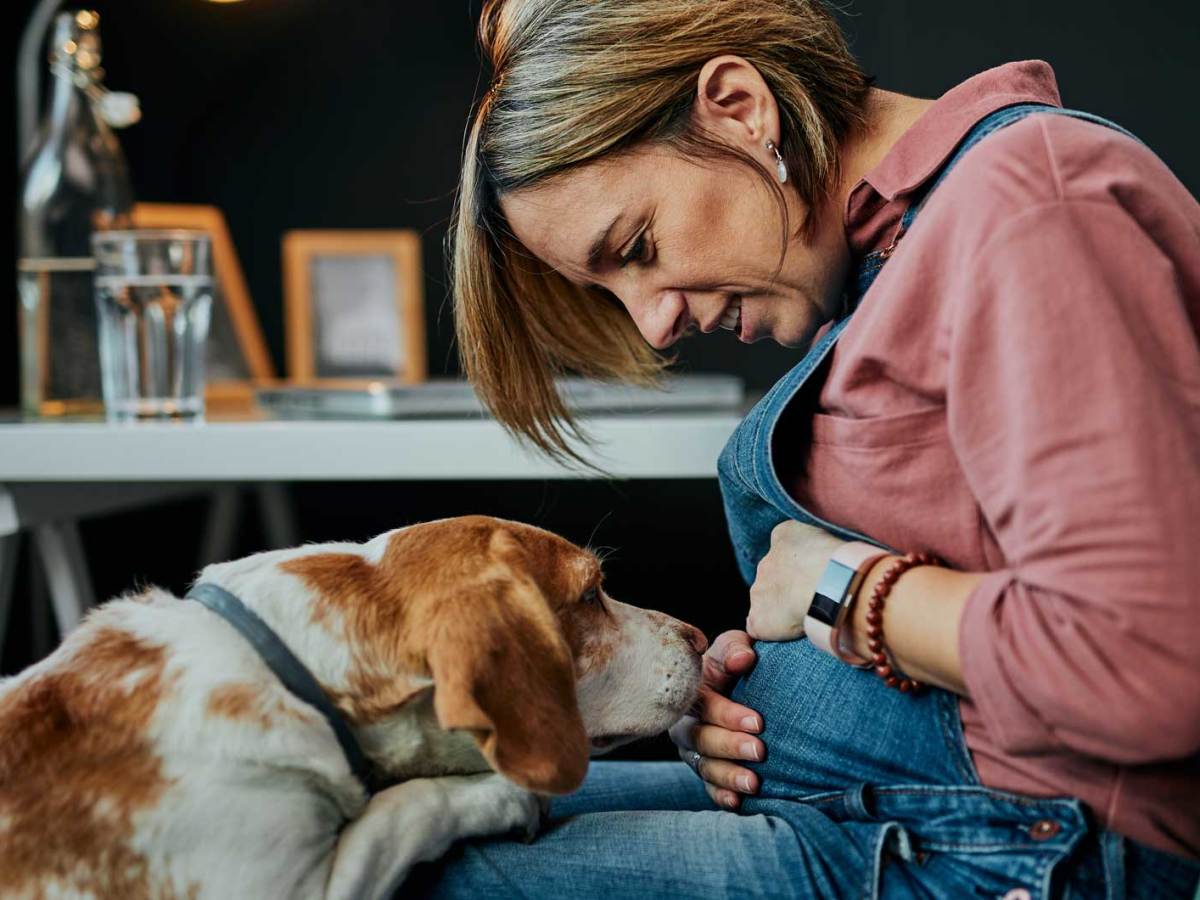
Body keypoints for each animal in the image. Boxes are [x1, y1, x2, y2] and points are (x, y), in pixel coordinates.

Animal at [0, 518, 705, 900]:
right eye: (590, 596)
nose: (699, 637)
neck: (283, 669)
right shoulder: (290, 887)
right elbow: (402, 810)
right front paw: (505, 796)